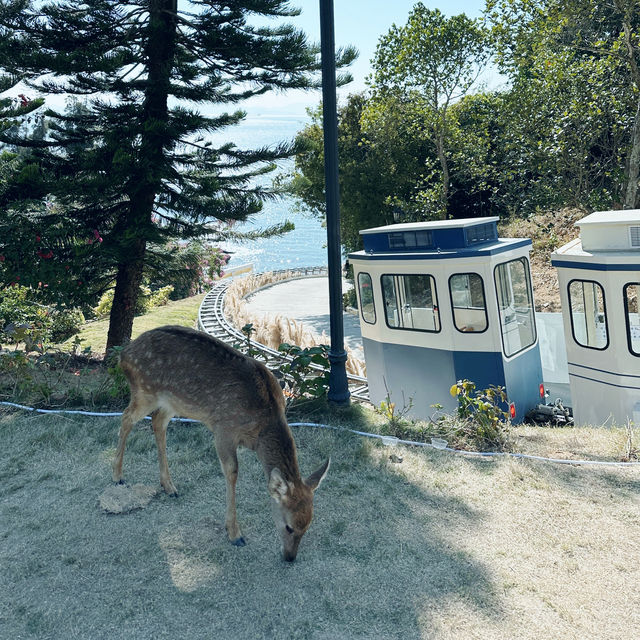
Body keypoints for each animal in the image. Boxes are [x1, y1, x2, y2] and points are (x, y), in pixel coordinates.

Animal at [111, 325, 330, 562]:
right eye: (288, 526)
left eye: (307, 526)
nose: (290, 557)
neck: (262, 424)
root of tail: (124, 354)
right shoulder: (224, 429)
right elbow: (232, 473)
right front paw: (235, 534)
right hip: (145, 391)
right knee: (126, 418)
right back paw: (117, 476)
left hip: (172, 402)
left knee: (157, 423)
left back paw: (169, 486)